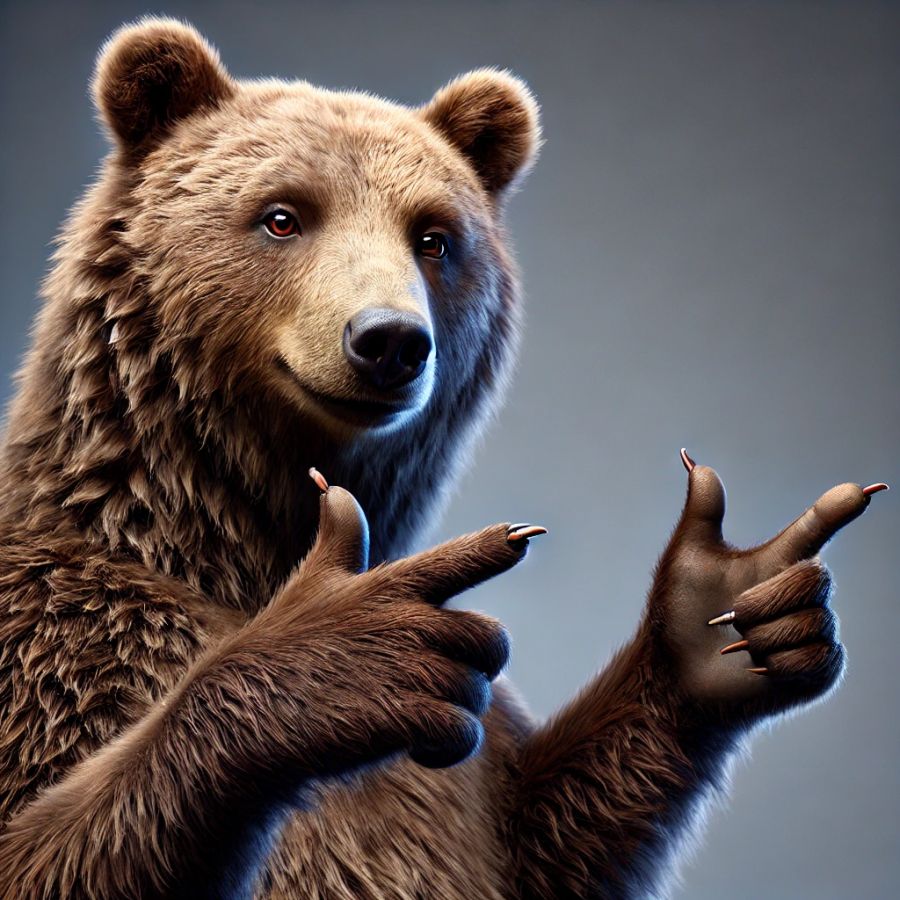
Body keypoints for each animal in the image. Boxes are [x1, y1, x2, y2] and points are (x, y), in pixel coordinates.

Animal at [0, 17, 886, 900]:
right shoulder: (62, 649)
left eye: (433, 237)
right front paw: (346, 655)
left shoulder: (473, 777)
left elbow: (547, 839)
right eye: (282, 216)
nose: (390, 339)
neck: (217, 537)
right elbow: (46, 847)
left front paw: (721, 613)